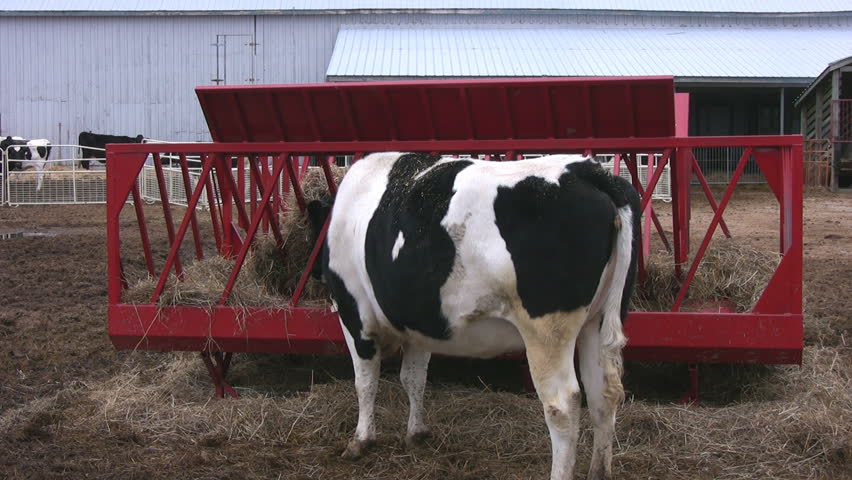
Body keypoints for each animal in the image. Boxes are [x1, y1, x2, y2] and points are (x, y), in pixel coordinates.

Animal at [306, 152, 641, 480]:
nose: (312, 274)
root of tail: (588, 171)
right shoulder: (419, 324)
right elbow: (413, 377)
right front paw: (416, 433)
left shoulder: (355, 314)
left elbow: (365, 381)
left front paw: (361, 440)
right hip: (597, 321)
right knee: (602, 394)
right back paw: (599, 471)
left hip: (547, 331)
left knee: (563, 405)